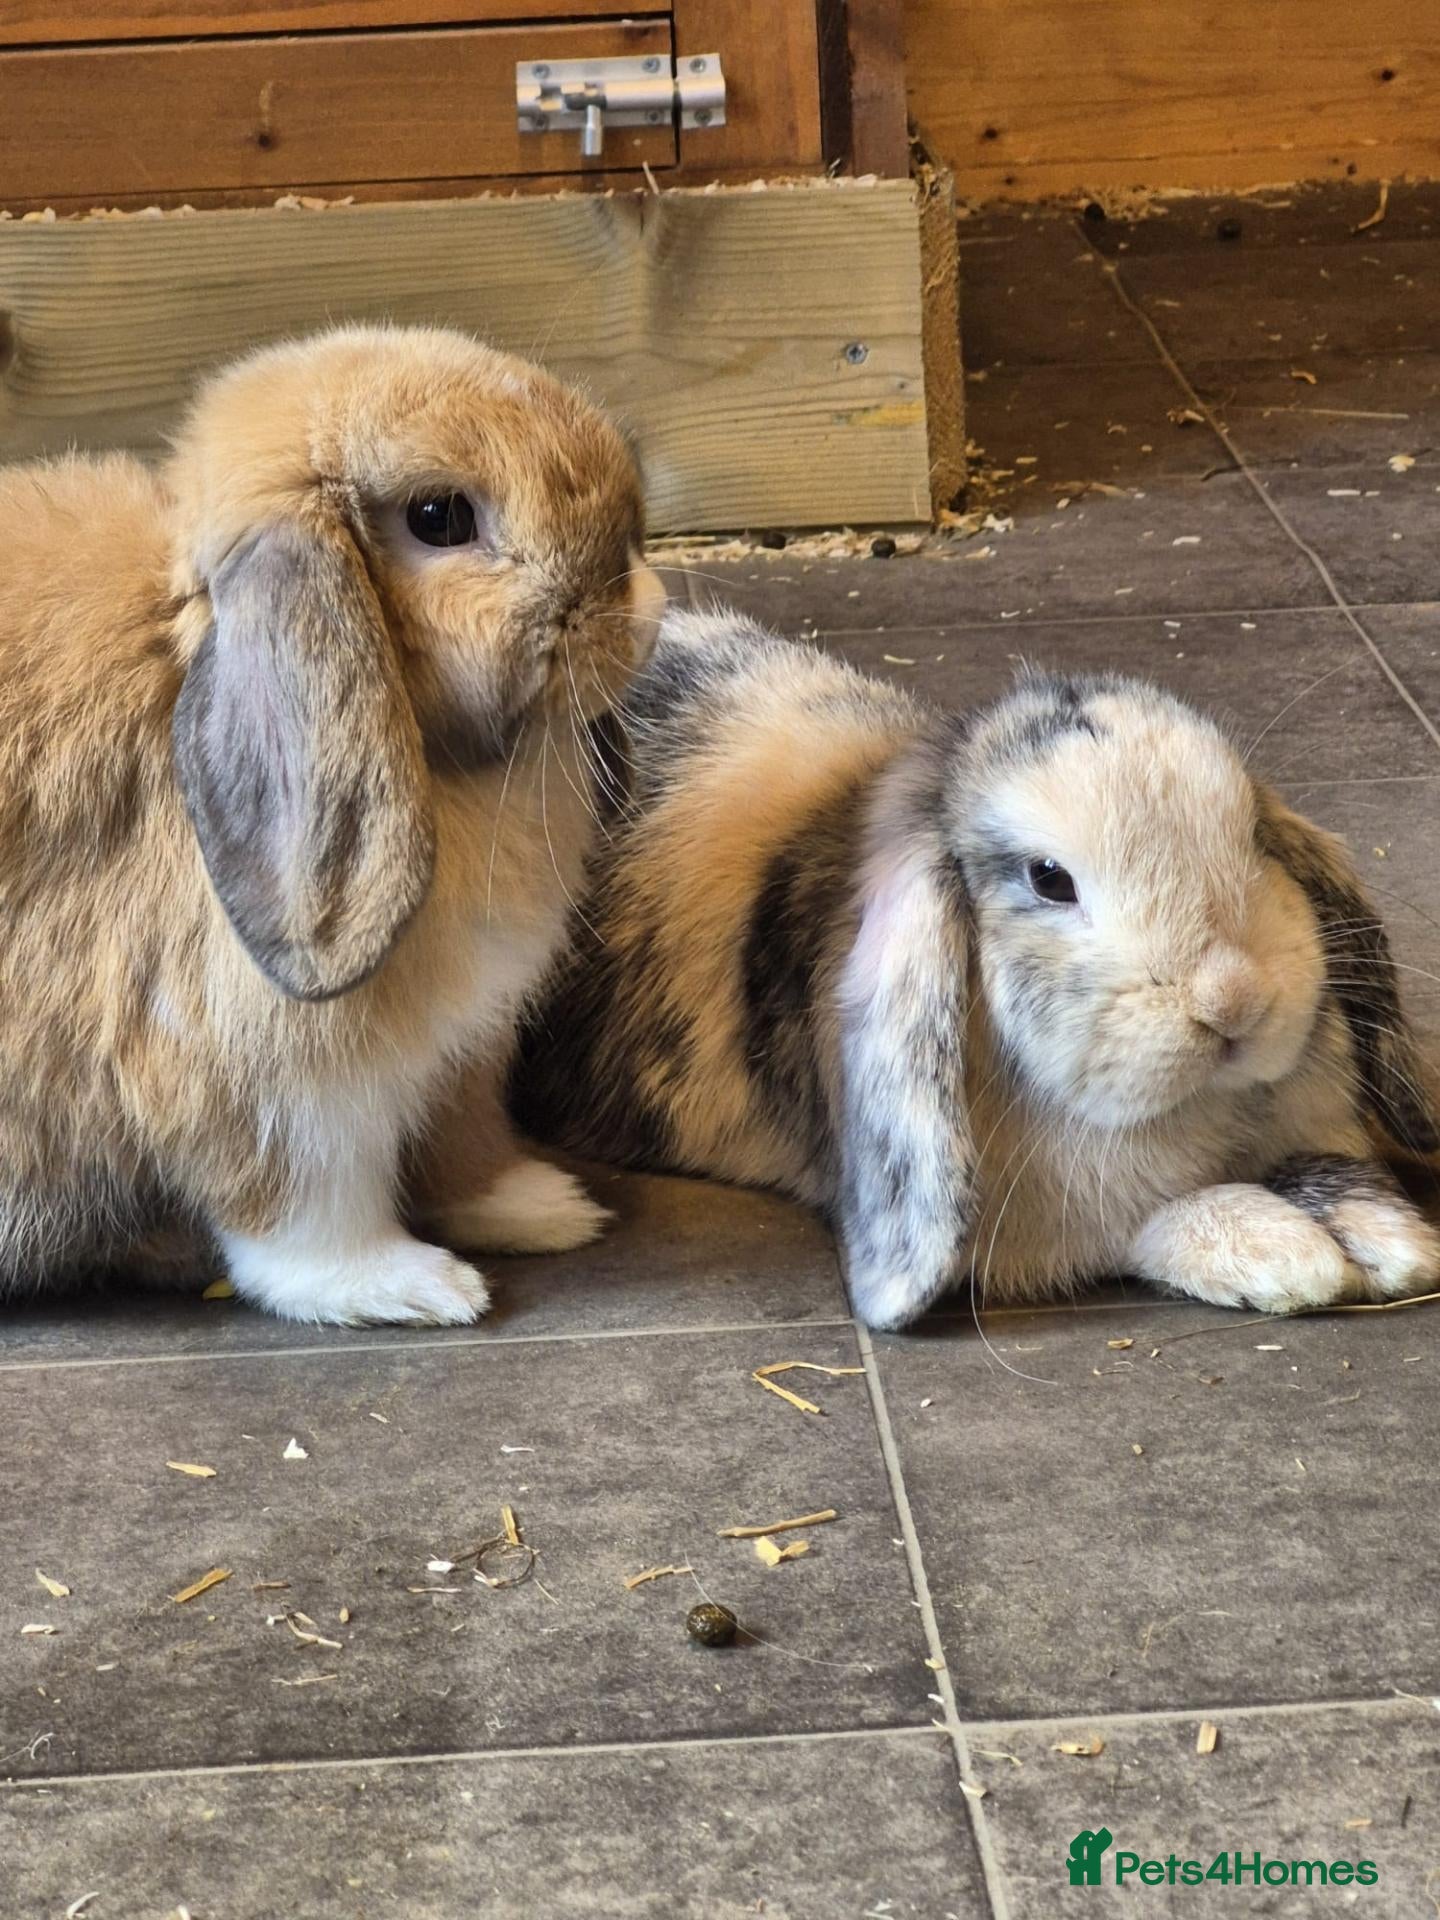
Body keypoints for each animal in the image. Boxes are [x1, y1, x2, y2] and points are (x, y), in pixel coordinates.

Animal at [0, 322, 665, 1325]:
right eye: (439, 517)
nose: (646, 603)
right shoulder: (270, 1075)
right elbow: (303, 1207)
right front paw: (411, 1285)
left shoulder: (459, 1050)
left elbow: (461, 1137)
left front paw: (538, 1207)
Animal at [514, 607, 1440, 1329]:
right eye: (1049, 879)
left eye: (1251, 830)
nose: (1232, 1001)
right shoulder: (1047, 1225)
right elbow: (1151, 1222)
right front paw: (1282, 1253)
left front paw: (1384, 1235)